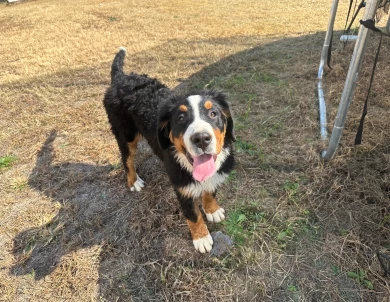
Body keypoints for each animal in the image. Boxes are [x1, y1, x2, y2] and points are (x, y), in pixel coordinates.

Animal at [102, 47, 235, 254]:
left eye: (213, 113)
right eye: (180, 118)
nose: (201, 138)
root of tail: (121, 78)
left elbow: (209, 190)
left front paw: (212, 209)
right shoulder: (182, 187)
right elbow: (193, 215)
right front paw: (201, 238)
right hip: (126, 134)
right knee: (127, 159)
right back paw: (133, 181)